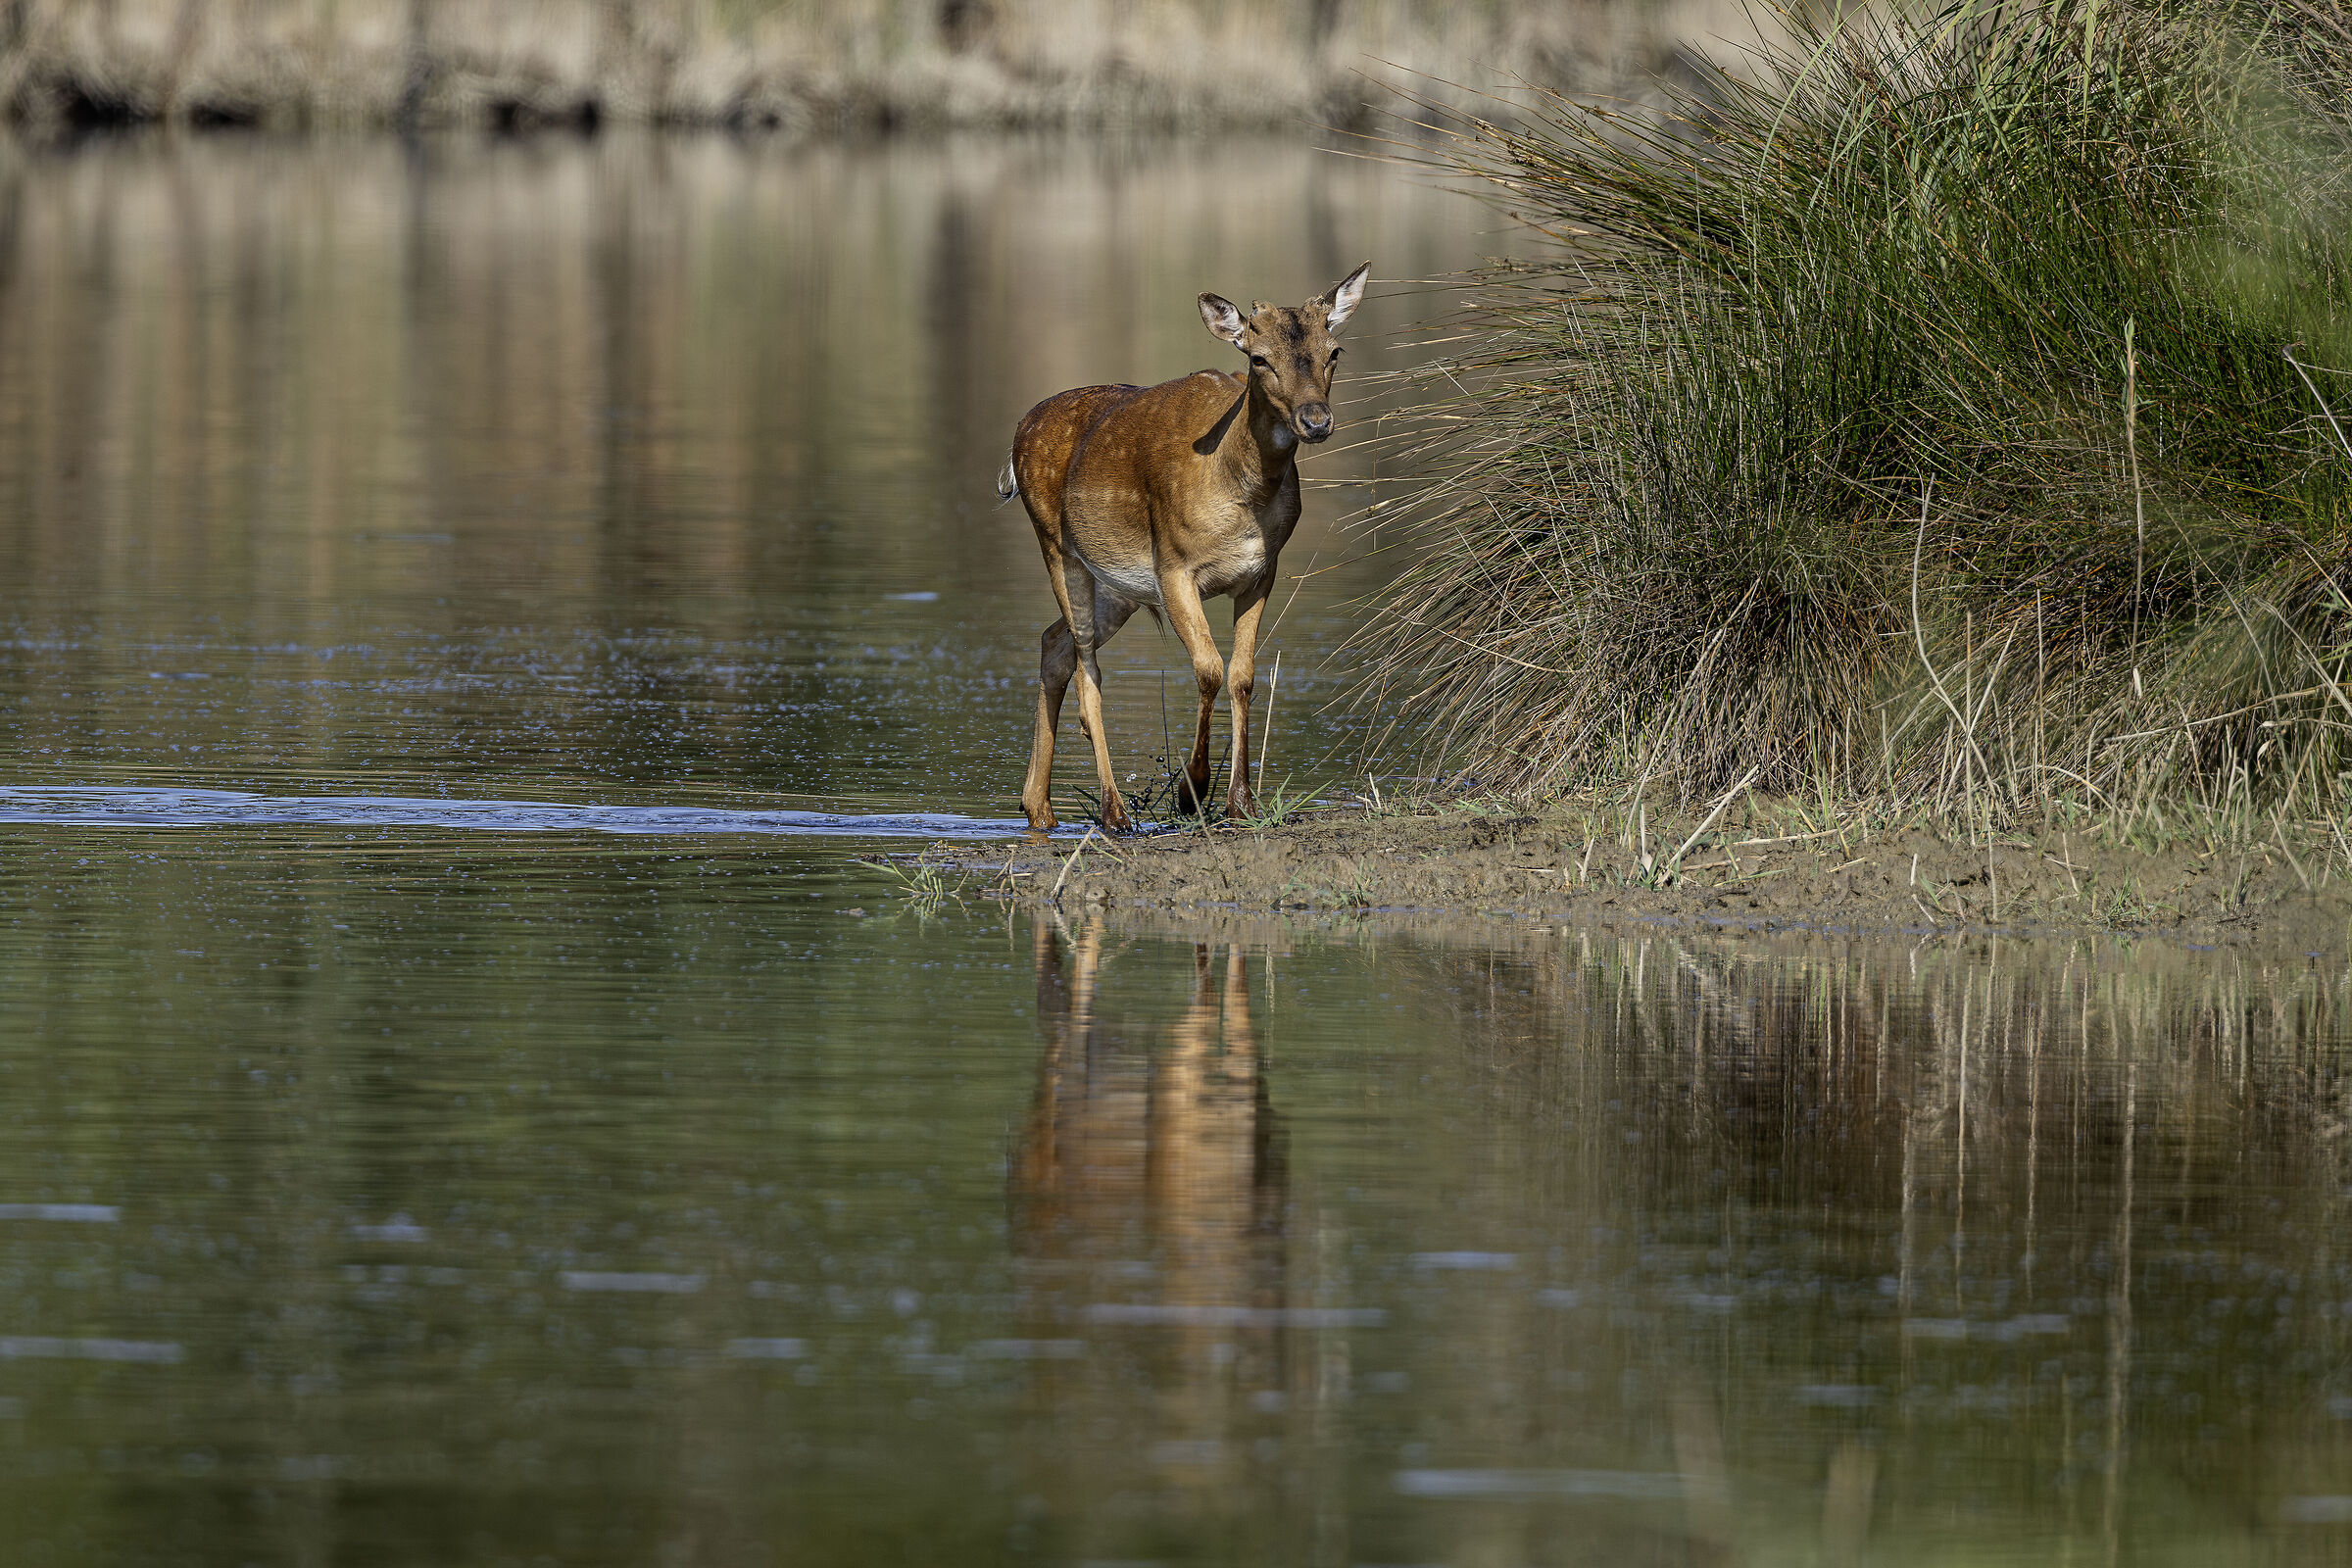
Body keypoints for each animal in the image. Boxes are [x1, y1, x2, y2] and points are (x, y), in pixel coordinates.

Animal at [997, 262, 1371, 833]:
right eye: (1258, 358)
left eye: (1334, 350)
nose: (1316, 421)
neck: (1241, 492)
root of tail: (1015, 445)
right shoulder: (1173, 565)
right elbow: (1209, 668)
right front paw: (1192, 792)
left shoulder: (1262, 571)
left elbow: (1243, 675)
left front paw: (1241, 803)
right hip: (1057, 546)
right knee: (1087, 671)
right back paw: (1113, 811)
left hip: (1119, 587)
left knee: (1053, 643)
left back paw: (1037, 807)